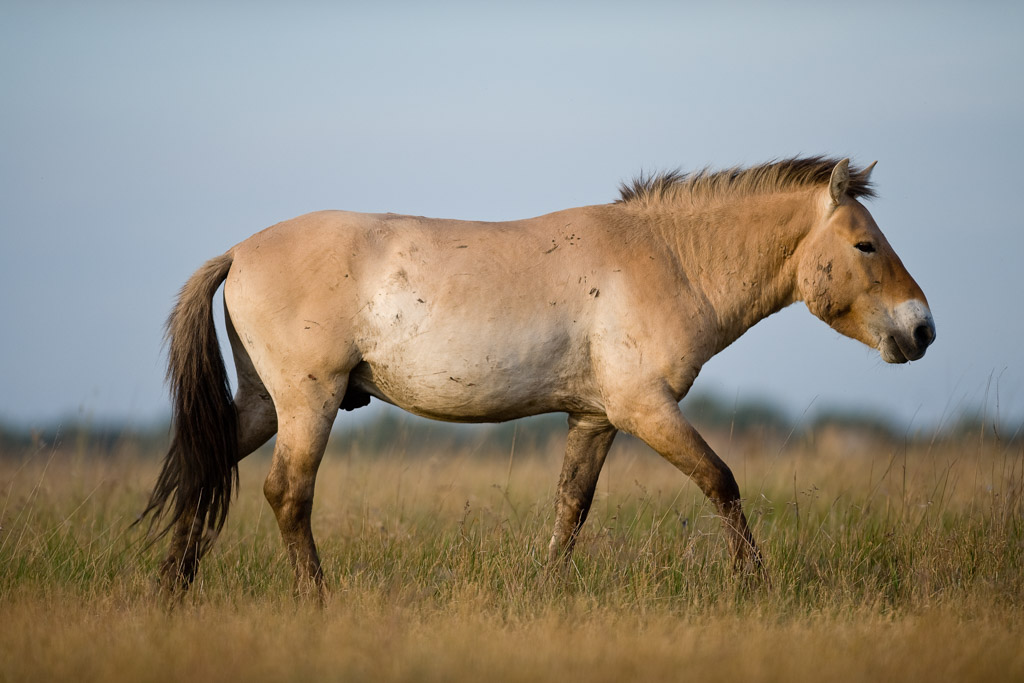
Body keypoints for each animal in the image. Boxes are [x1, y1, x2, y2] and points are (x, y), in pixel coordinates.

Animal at [142, 156, 935, 600]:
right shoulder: (644, 408)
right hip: (309, 402)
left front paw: (545, 592)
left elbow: (570, 510)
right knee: (287, 495)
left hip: (264, 404)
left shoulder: (596, 417)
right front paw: (757, 585)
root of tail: (238, 251)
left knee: (207, 466)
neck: (667, 257)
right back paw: (315, 600)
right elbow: (722, 481)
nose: (922, 329)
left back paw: (171, 590)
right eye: (866, 245)